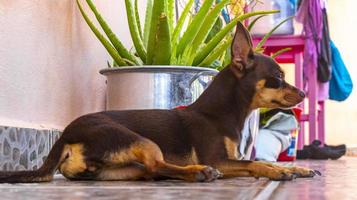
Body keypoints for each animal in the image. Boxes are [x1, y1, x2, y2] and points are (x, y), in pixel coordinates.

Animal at [0, 22, 318, 184]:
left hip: (120, 169)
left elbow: (260, 160)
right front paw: (282, 170)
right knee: (158, 166)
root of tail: (65, 135)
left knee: (153, 170)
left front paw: (297, 169)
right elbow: (255, 162)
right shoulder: (220, 159)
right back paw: (198, 172)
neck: (221, 113)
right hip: (140, 140)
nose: (304, 94)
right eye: (278, 77)